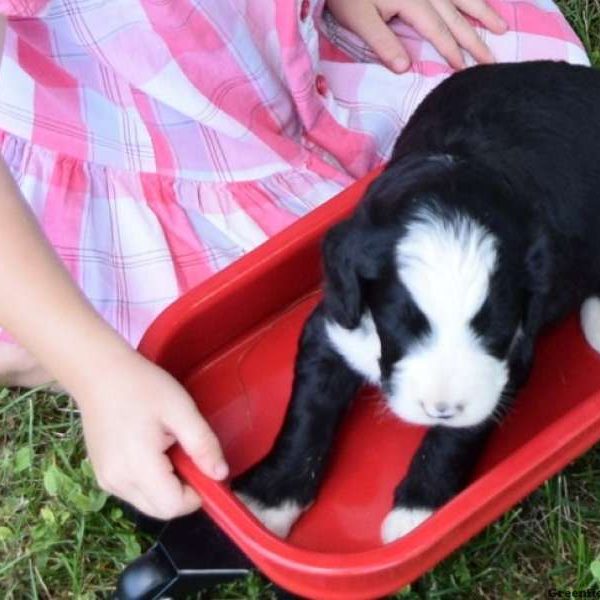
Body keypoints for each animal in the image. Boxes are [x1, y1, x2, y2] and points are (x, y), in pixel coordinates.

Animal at [232, 61, 600, 544]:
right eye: (401, 324)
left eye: (493, 329)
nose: (439, 409)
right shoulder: (336, 328)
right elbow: (307, 416)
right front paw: (269, 501)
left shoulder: (507, 362)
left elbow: (457, 437)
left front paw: (416, 513)